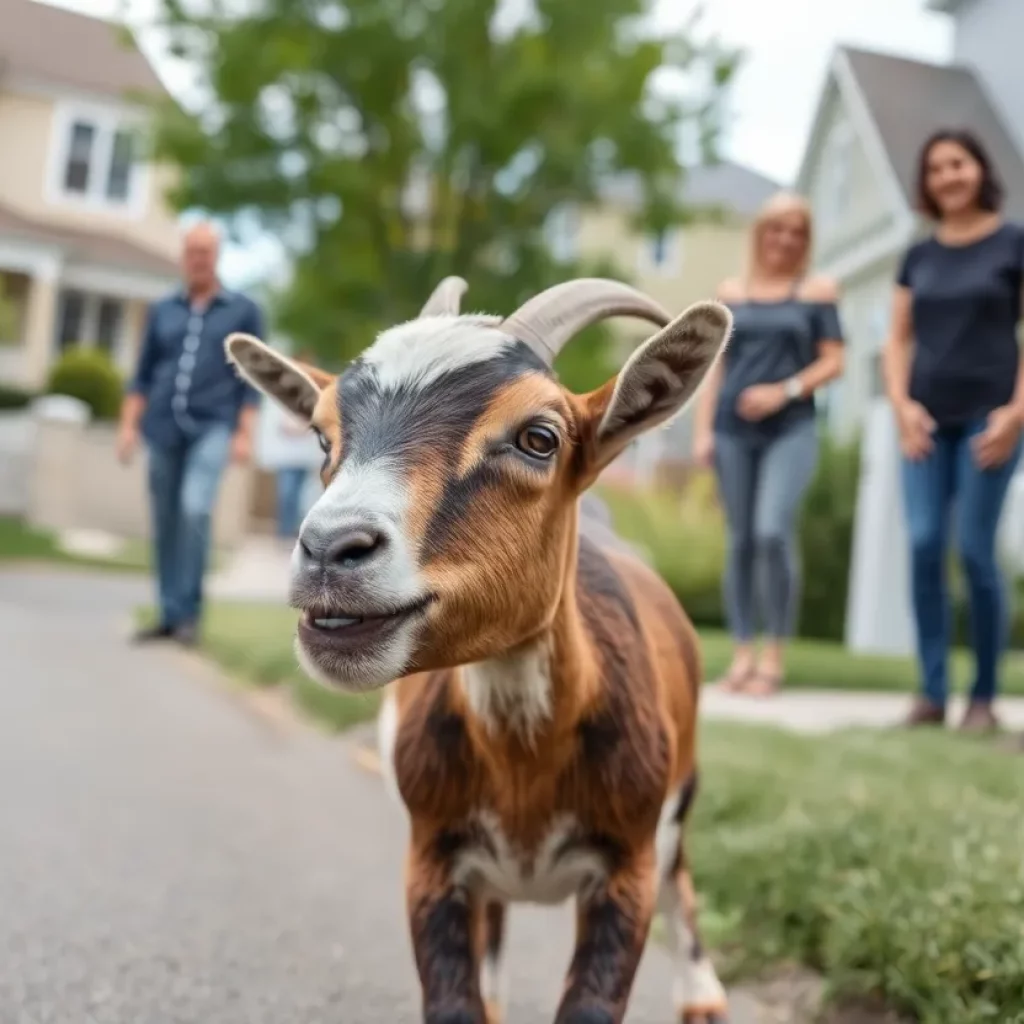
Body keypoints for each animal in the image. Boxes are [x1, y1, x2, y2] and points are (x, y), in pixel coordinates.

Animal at [225, 276, 733, 1024]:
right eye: (321, 435)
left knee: (683, 873)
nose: (329, 548)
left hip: (682, 793)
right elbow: (456, 1001)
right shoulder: (432, 860)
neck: (524, 766)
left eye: (539, 437)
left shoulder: (627, 865)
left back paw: (702, 995)